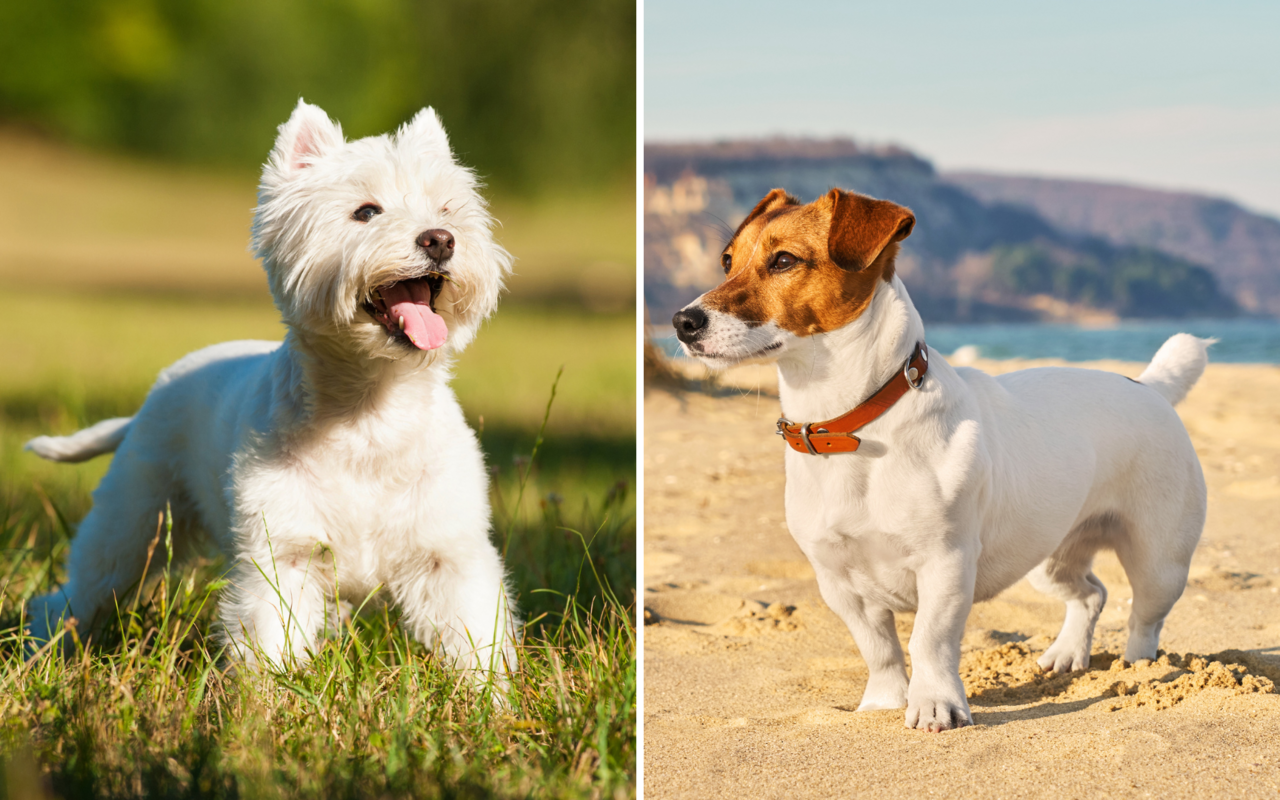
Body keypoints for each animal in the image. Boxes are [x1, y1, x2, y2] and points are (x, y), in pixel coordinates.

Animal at [26, 98, 514, 675]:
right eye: (366, 212)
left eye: (447, 209)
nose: (439, 240)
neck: (370, 411)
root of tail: (152, 398)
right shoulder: (282, 554)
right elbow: (270, 641)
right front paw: (271, 693)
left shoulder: (448, 554)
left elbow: (476, 638)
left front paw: (488, 692)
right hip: (134, 522)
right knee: (78, 594)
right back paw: (42, 649)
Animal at [670, 186, 1208, 732]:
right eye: (727, 261)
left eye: (783, 260)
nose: (682, 322)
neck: (852, 426)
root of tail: (1148, 386)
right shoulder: (838, 583)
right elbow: (879, 648)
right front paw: (884, 701)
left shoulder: (945, 564)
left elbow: (928, 640)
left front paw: (934, 705)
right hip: (1048, 554)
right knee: (1091, 593)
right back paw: (1065, 654)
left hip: (1159, 559)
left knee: (1145, 616)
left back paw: (1140, 667)